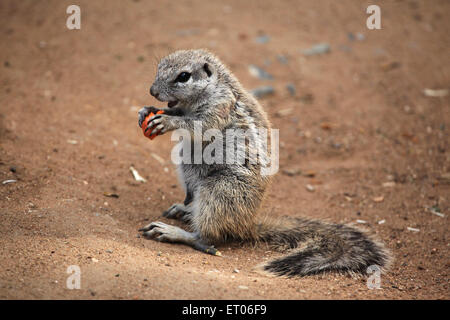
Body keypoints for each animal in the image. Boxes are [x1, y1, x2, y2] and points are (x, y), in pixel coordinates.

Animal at [137, 48, 390, 276]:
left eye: (183, 76)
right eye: (159, 67)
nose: (152, 91)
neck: (214, 86)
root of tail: (247, 224)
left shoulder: (220, 108)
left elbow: (197, 125)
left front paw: (168, 121)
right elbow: (178, 113)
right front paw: (148, 110)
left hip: (220, 190)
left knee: (207, 237)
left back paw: (174, 232)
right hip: (189, 170)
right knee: (194, 202)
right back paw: (184, 209)